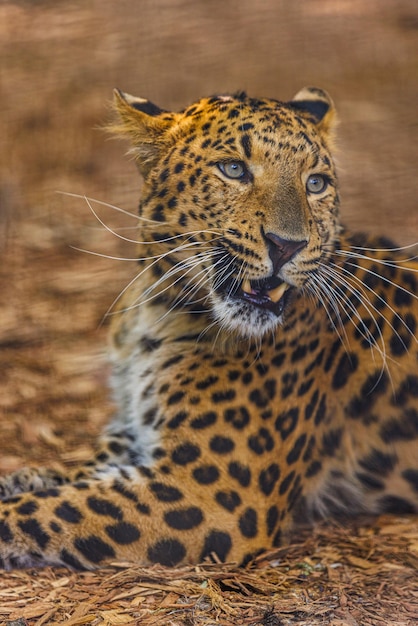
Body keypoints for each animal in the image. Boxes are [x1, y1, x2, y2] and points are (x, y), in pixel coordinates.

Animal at [0, 88, 418, 572]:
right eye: (234, 169)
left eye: (315, 183)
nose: (287, 245)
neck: (159, 307)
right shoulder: (133, 433)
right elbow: (65, 477)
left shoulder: (210, 495)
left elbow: (49, 507)